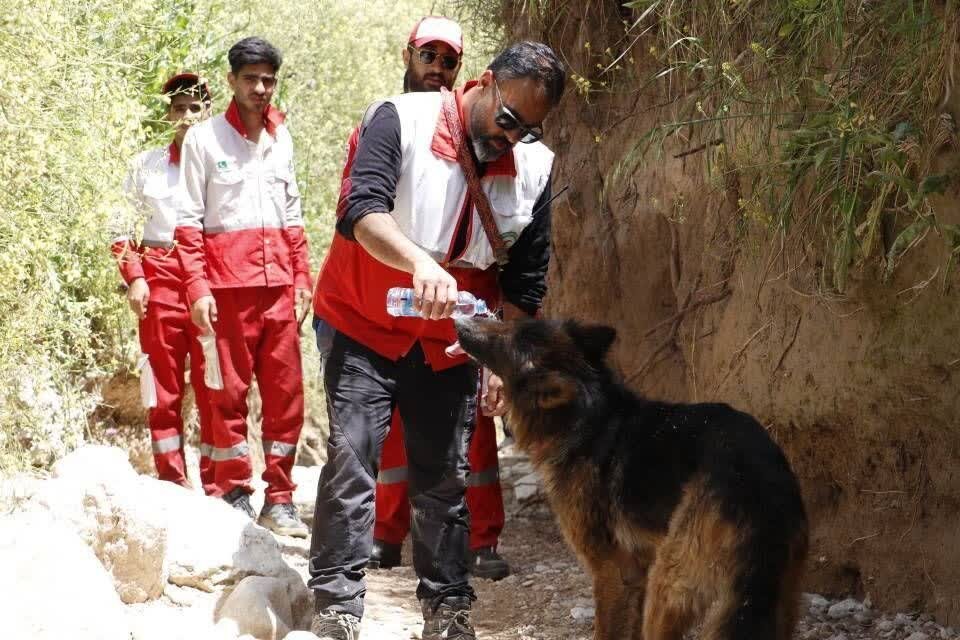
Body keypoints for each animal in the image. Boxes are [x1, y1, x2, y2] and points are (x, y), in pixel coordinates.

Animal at [458, 318, 808, 636]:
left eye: (514, 338)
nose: (461, 323)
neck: (586, 418)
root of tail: (758, 484)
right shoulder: (637, 571)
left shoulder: (613, 572)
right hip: (776, 600)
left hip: (667, 584)